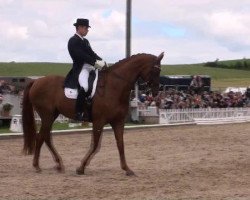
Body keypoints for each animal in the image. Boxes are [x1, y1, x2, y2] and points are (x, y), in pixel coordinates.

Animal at [23, 52, 164, 176]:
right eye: (156, 70)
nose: (156, 92)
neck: (114, 86)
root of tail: (36, 81)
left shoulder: (118, 121)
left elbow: (120, 144)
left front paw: (127, 169)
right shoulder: (99, 121)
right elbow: (95, 144)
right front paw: (81, 168)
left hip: (52, 116)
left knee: (46, 137)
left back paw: (58, 164)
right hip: (47, 116)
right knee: (40, 137)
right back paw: (37, 166)